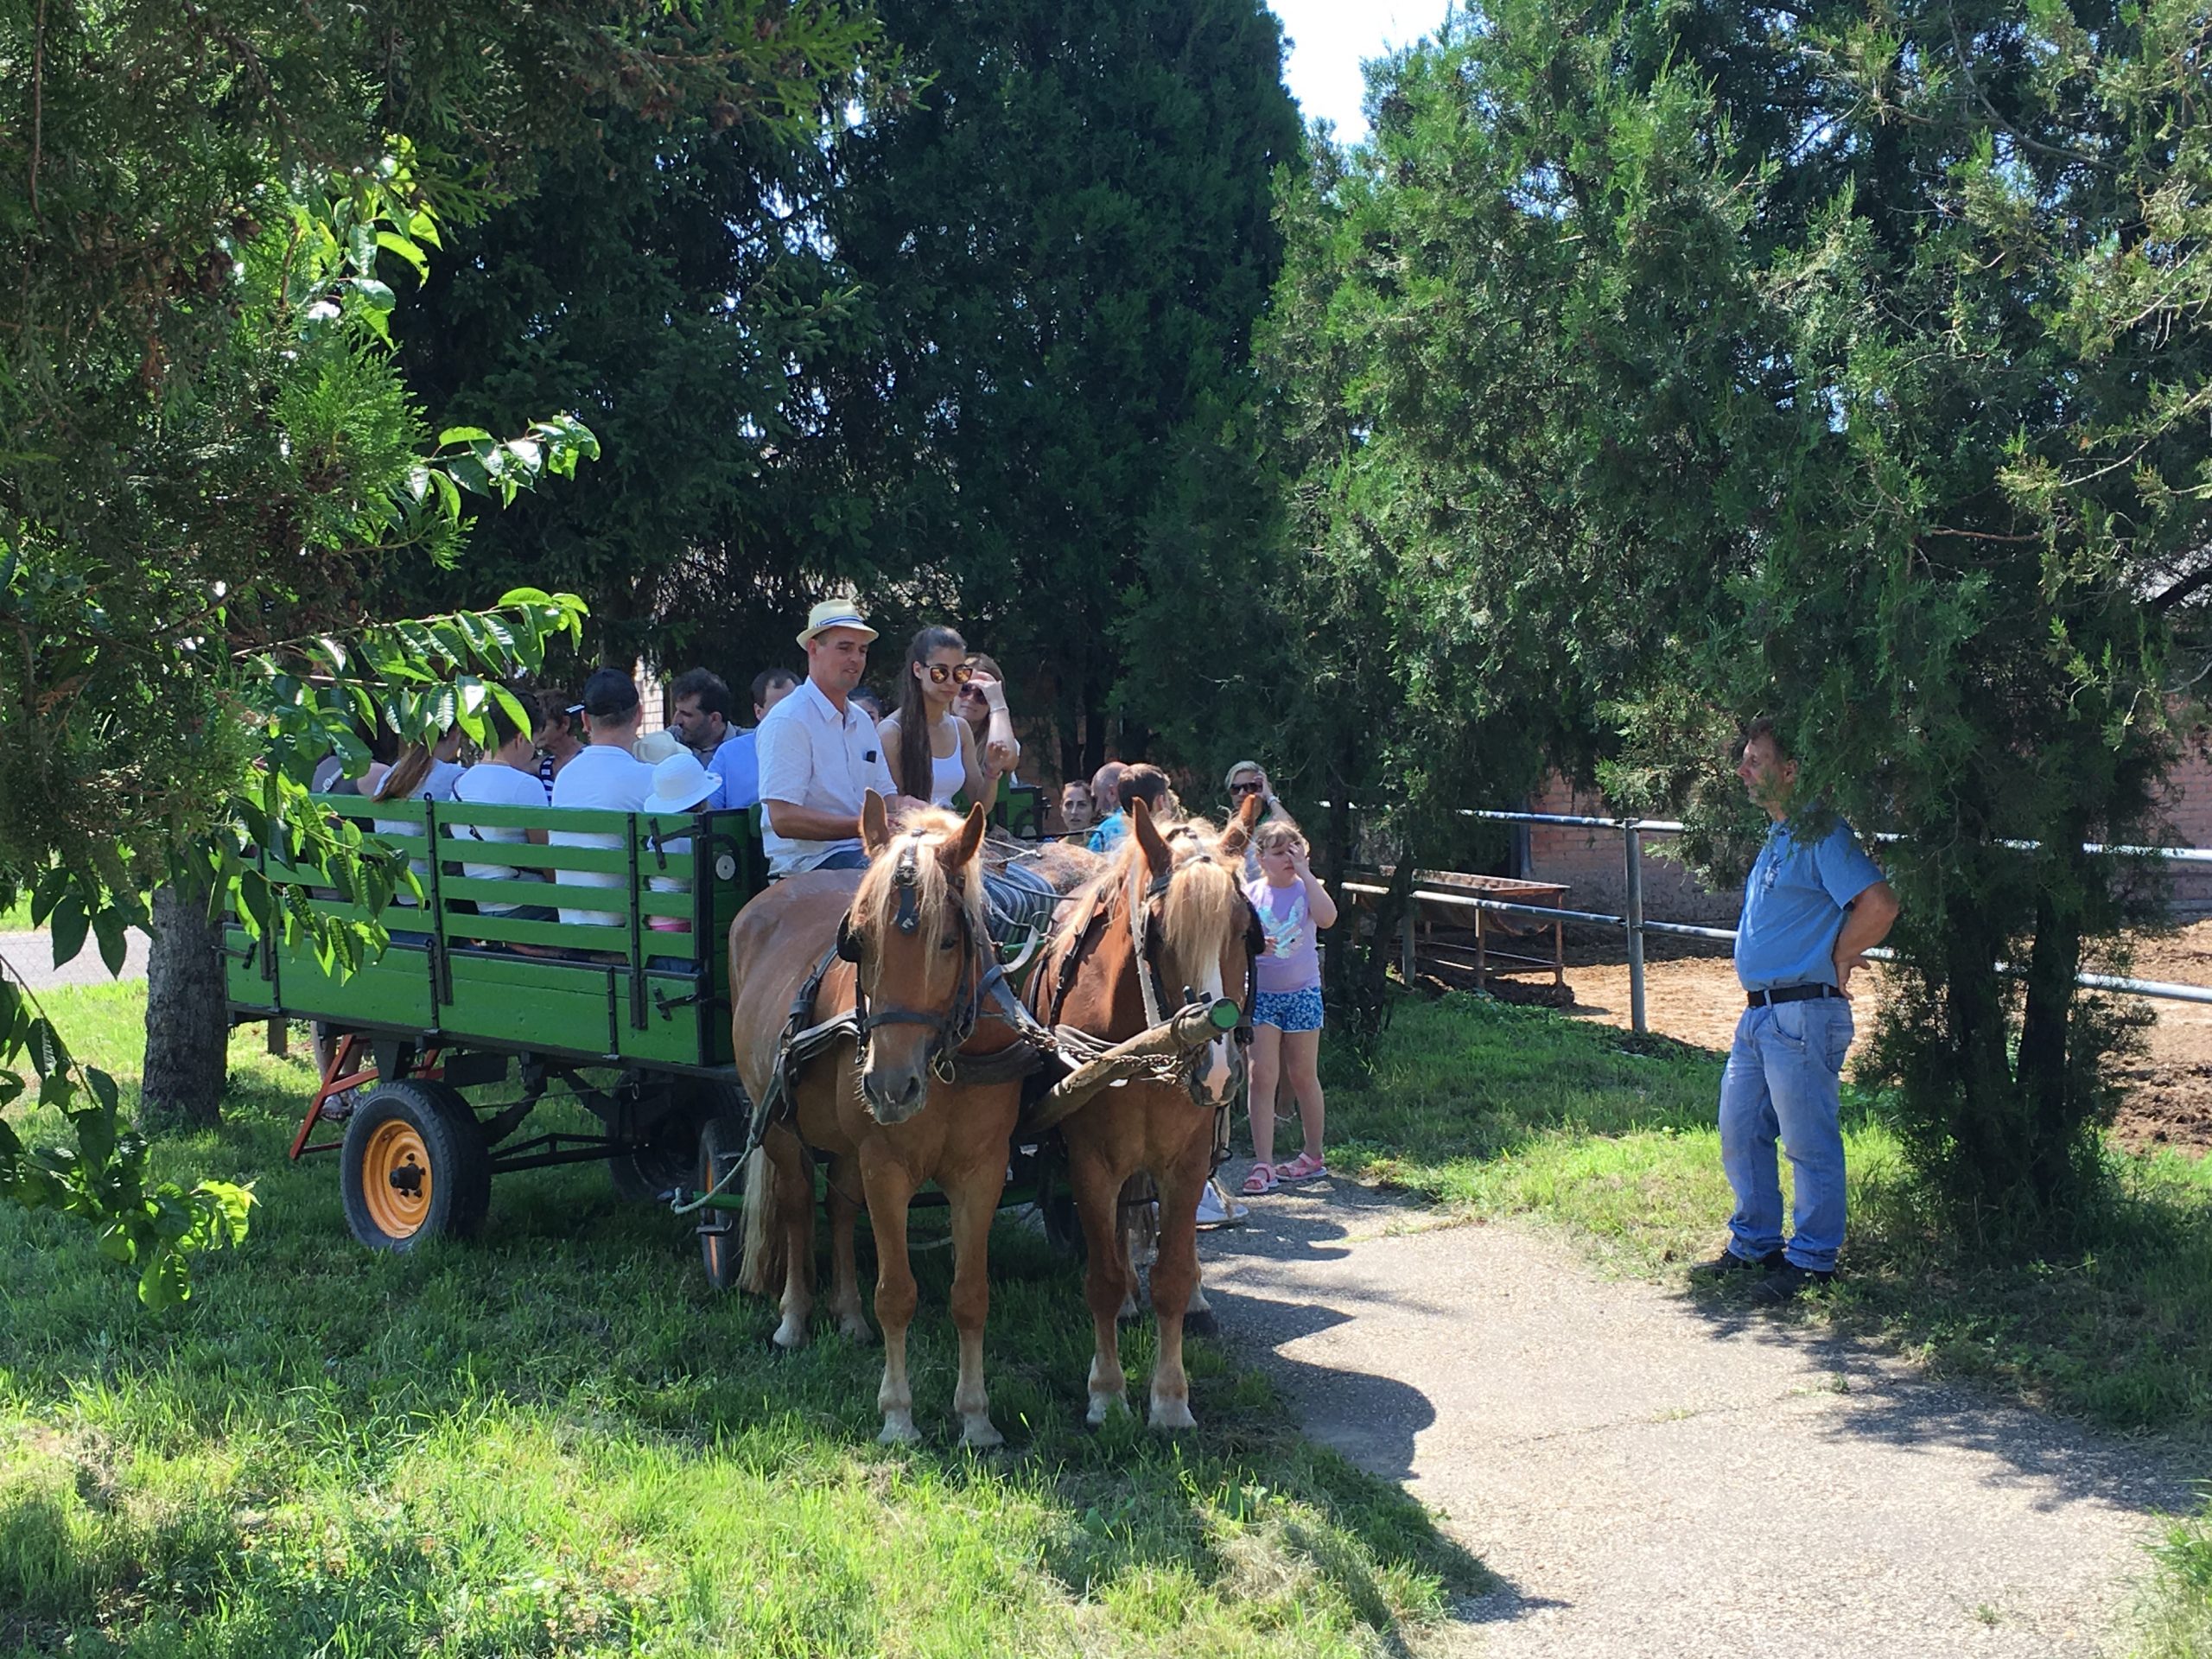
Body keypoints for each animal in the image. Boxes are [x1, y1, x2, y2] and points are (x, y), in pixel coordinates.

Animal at [734, 800, 1026, 1451]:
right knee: (797, 1207)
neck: (944, 1063)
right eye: (858, 941)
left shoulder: (982, 1172)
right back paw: (794, 1319)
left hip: (846, 1147)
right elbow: (897, 1293)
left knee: (840, 1209)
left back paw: (847, 1315)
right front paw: (898, 1414)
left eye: (949, 941)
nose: (891, 1087)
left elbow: (971, 1295)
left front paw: (976, 1417)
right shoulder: (886, 1167)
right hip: (782, 1130)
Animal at [1026, 791, 1256, 1433]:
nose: (1217, 1065)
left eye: (1244, 929)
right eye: (1159, 932)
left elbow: (1172, 1275)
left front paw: (1171, 1400)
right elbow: (1102, 1279)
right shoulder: (1090, 1161)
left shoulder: (1186, 1160)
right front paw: (1107, 1394)